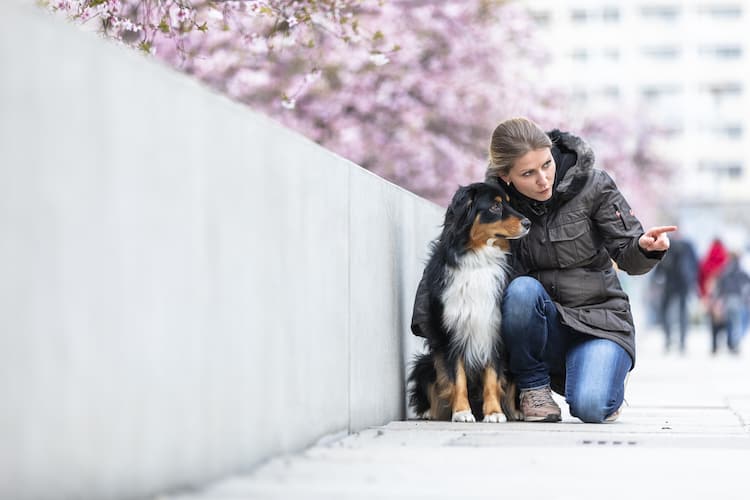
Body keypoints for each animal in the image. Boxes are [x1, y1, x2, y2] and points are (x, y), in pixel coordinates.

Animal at [408, 182, 532, 420]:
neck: (478, 257)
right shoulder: (450, 332)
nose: (528, 223)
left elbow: (493, 377)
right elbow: (457, 378)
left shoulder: (494, 328)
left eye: (509, 203)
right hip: (424, 363)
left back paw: (517, 410)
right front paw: (462, 412)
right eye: (495, 206)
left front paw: (494, 412)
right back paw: (429, 412)